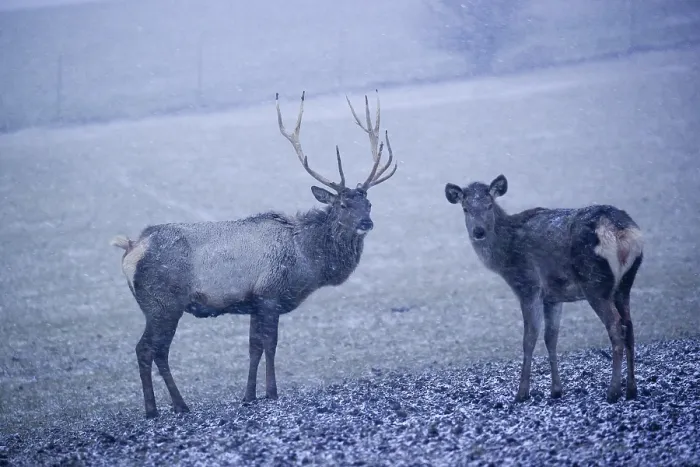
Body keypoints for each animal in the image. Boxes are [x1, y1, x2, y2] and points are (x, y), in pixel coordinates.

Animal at [110, 91, 398, 418]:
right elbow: (270, 345)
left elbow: (253, 348)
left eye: (369, 203)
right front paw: (271, 392)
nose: (366, 223)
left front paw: (248, 395)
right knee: (148, 349)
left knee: (155, 351)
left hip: (159, 307)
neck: (306, 258)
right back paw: (162, 408)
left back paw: (170, 405)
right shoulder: (270, 295)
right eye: (343, 205)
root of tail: (130, 248)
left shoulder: (253, 302)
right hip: (162, 304)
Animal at [444, 174, 644, 403]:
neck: (504, 256)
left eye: (489, 204)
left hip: (595, 282)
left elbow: (529, 338)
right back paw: (631, 389)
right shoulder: (553, 296)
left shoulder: (528, 285)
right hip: (625, 283)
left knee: (616, 326)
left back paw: (613, 391)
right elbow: (551, 338)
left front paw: (522, 393)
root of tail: (621, 232)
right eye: (465, 208)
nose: (479, 232)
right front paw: (556, 390)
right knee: (630, 327)